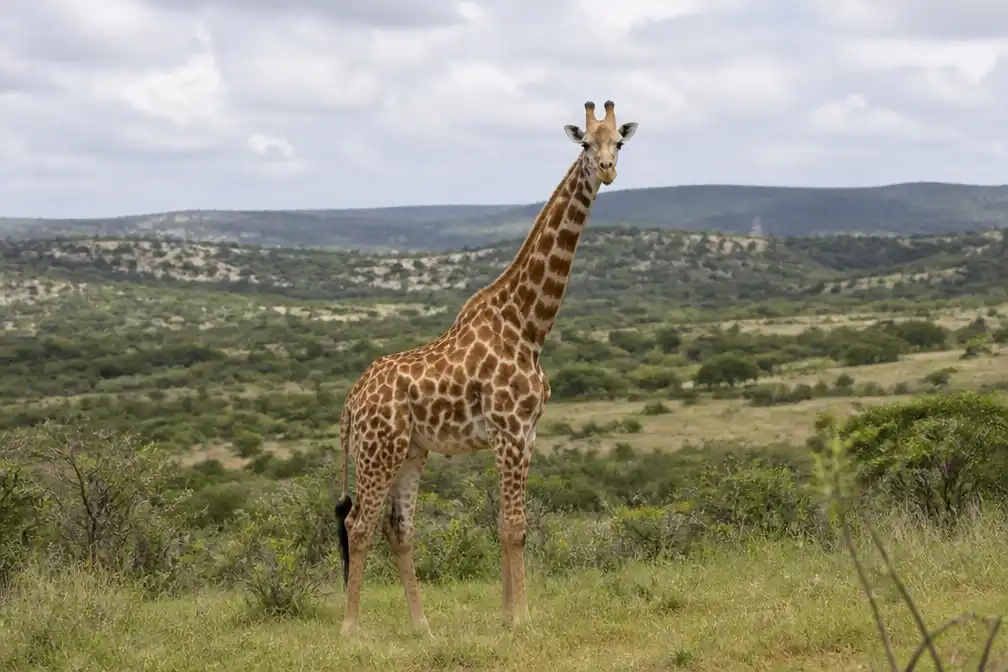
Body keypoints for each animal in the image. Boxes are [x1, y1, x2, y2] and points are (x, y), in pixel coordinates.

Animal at [334, 100, 639, 637]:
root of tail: (352, 400)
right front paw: (520, 619)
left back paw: (423, 628)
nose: (606, 170)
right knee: (359, 524)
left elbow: (509, 525)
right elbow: (514, 526)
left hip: (411, 450)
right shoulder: (509, 429)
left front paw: (507, 614)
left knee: (399, 528)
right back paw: (351, 631)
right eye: (585, 143)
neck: (528, 324)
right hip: (378, 450)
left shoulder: (528, 432)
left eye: (618, 143)